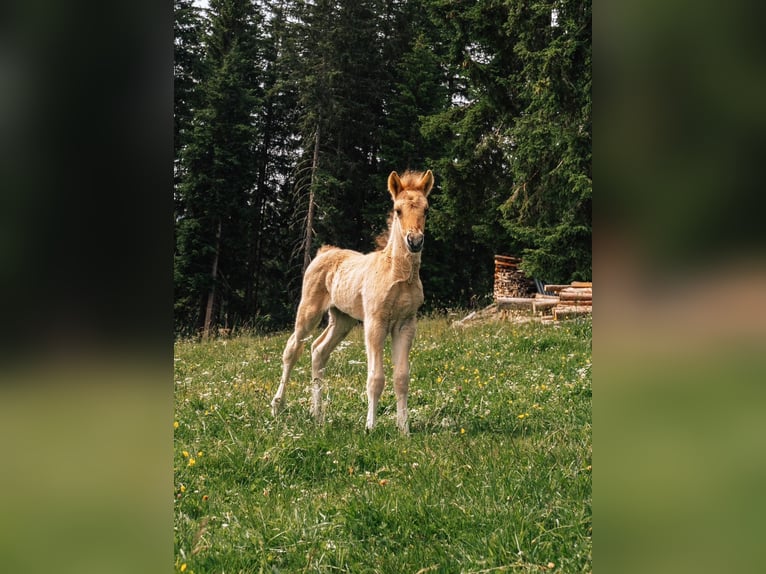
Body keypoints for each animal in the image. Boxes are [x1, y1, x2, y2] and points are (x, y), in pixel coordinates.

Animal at [272, 169, 436, 434]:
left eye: (426, 209)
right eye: (398, 210)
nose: (414, 241)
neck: (398, 275)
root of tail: (324, 252)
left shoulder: (406, 324)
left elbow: (402, 377)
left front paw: (404, 429)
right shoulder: (375, 322)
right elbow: (375, 378)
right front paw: (370, 427)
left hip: (342, 319)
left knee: (318, 350)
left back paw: (318, 414)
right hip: (309, 311)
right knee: (292, 349)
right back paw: (277, 406)